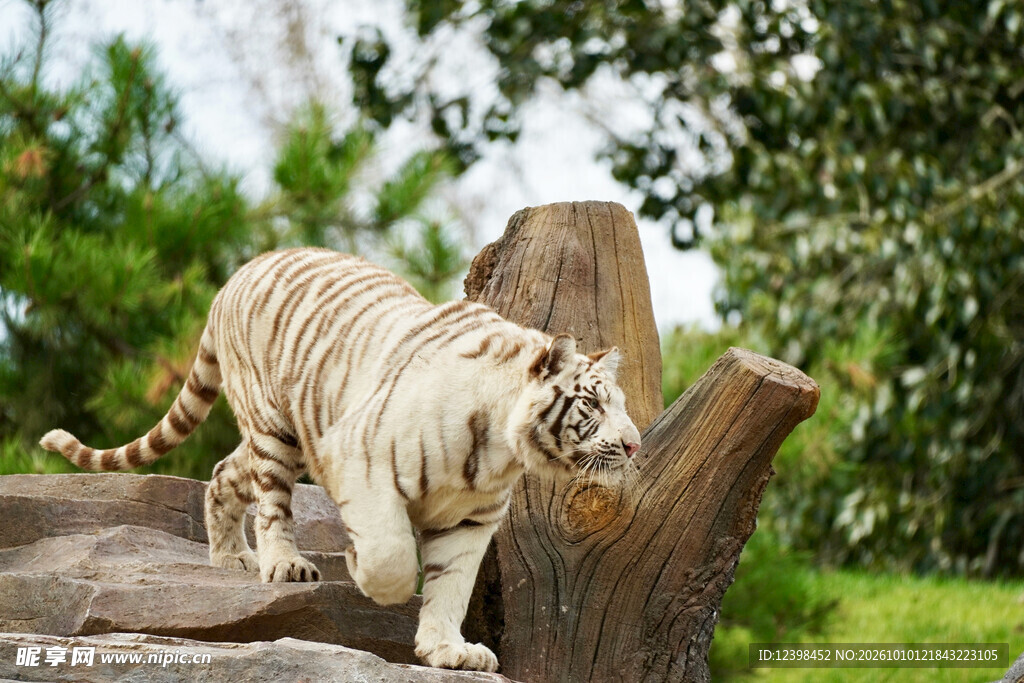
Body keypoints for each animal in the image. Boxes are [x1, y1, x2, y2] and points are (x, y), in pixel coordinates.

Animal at [40, 247, 642, 673]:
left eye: (620, 404)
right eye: (592, 403)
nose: (635, 444)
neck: (501, 450)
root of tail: (237, 274)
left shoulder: (473, 519)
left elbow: (451, 586)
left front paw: (447, 650)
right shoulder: (361, 459)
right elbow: (393, 556)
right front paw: (361, 570)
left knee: (222, 474)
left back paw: (230, 557)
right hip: (277, 430)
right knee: (272, 503)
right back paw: (282, 564)